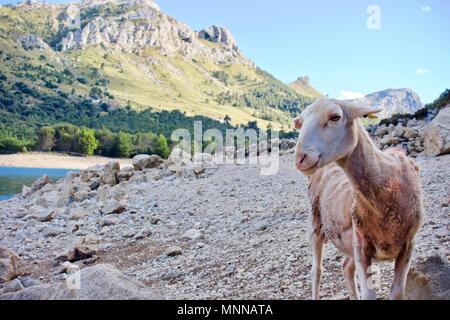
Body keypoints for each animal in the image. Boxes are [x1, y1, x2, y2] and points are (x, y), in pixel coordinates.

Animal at [294, 98, 424, 300]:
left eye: (335, 117)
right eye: (301, 123)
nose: (300, 158)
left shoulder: (408, 244)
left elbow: (396, 293)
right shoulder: (362, 245)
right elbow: (369, 294)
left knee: (346, 267)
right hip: (316, 223)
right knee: (317, 271)